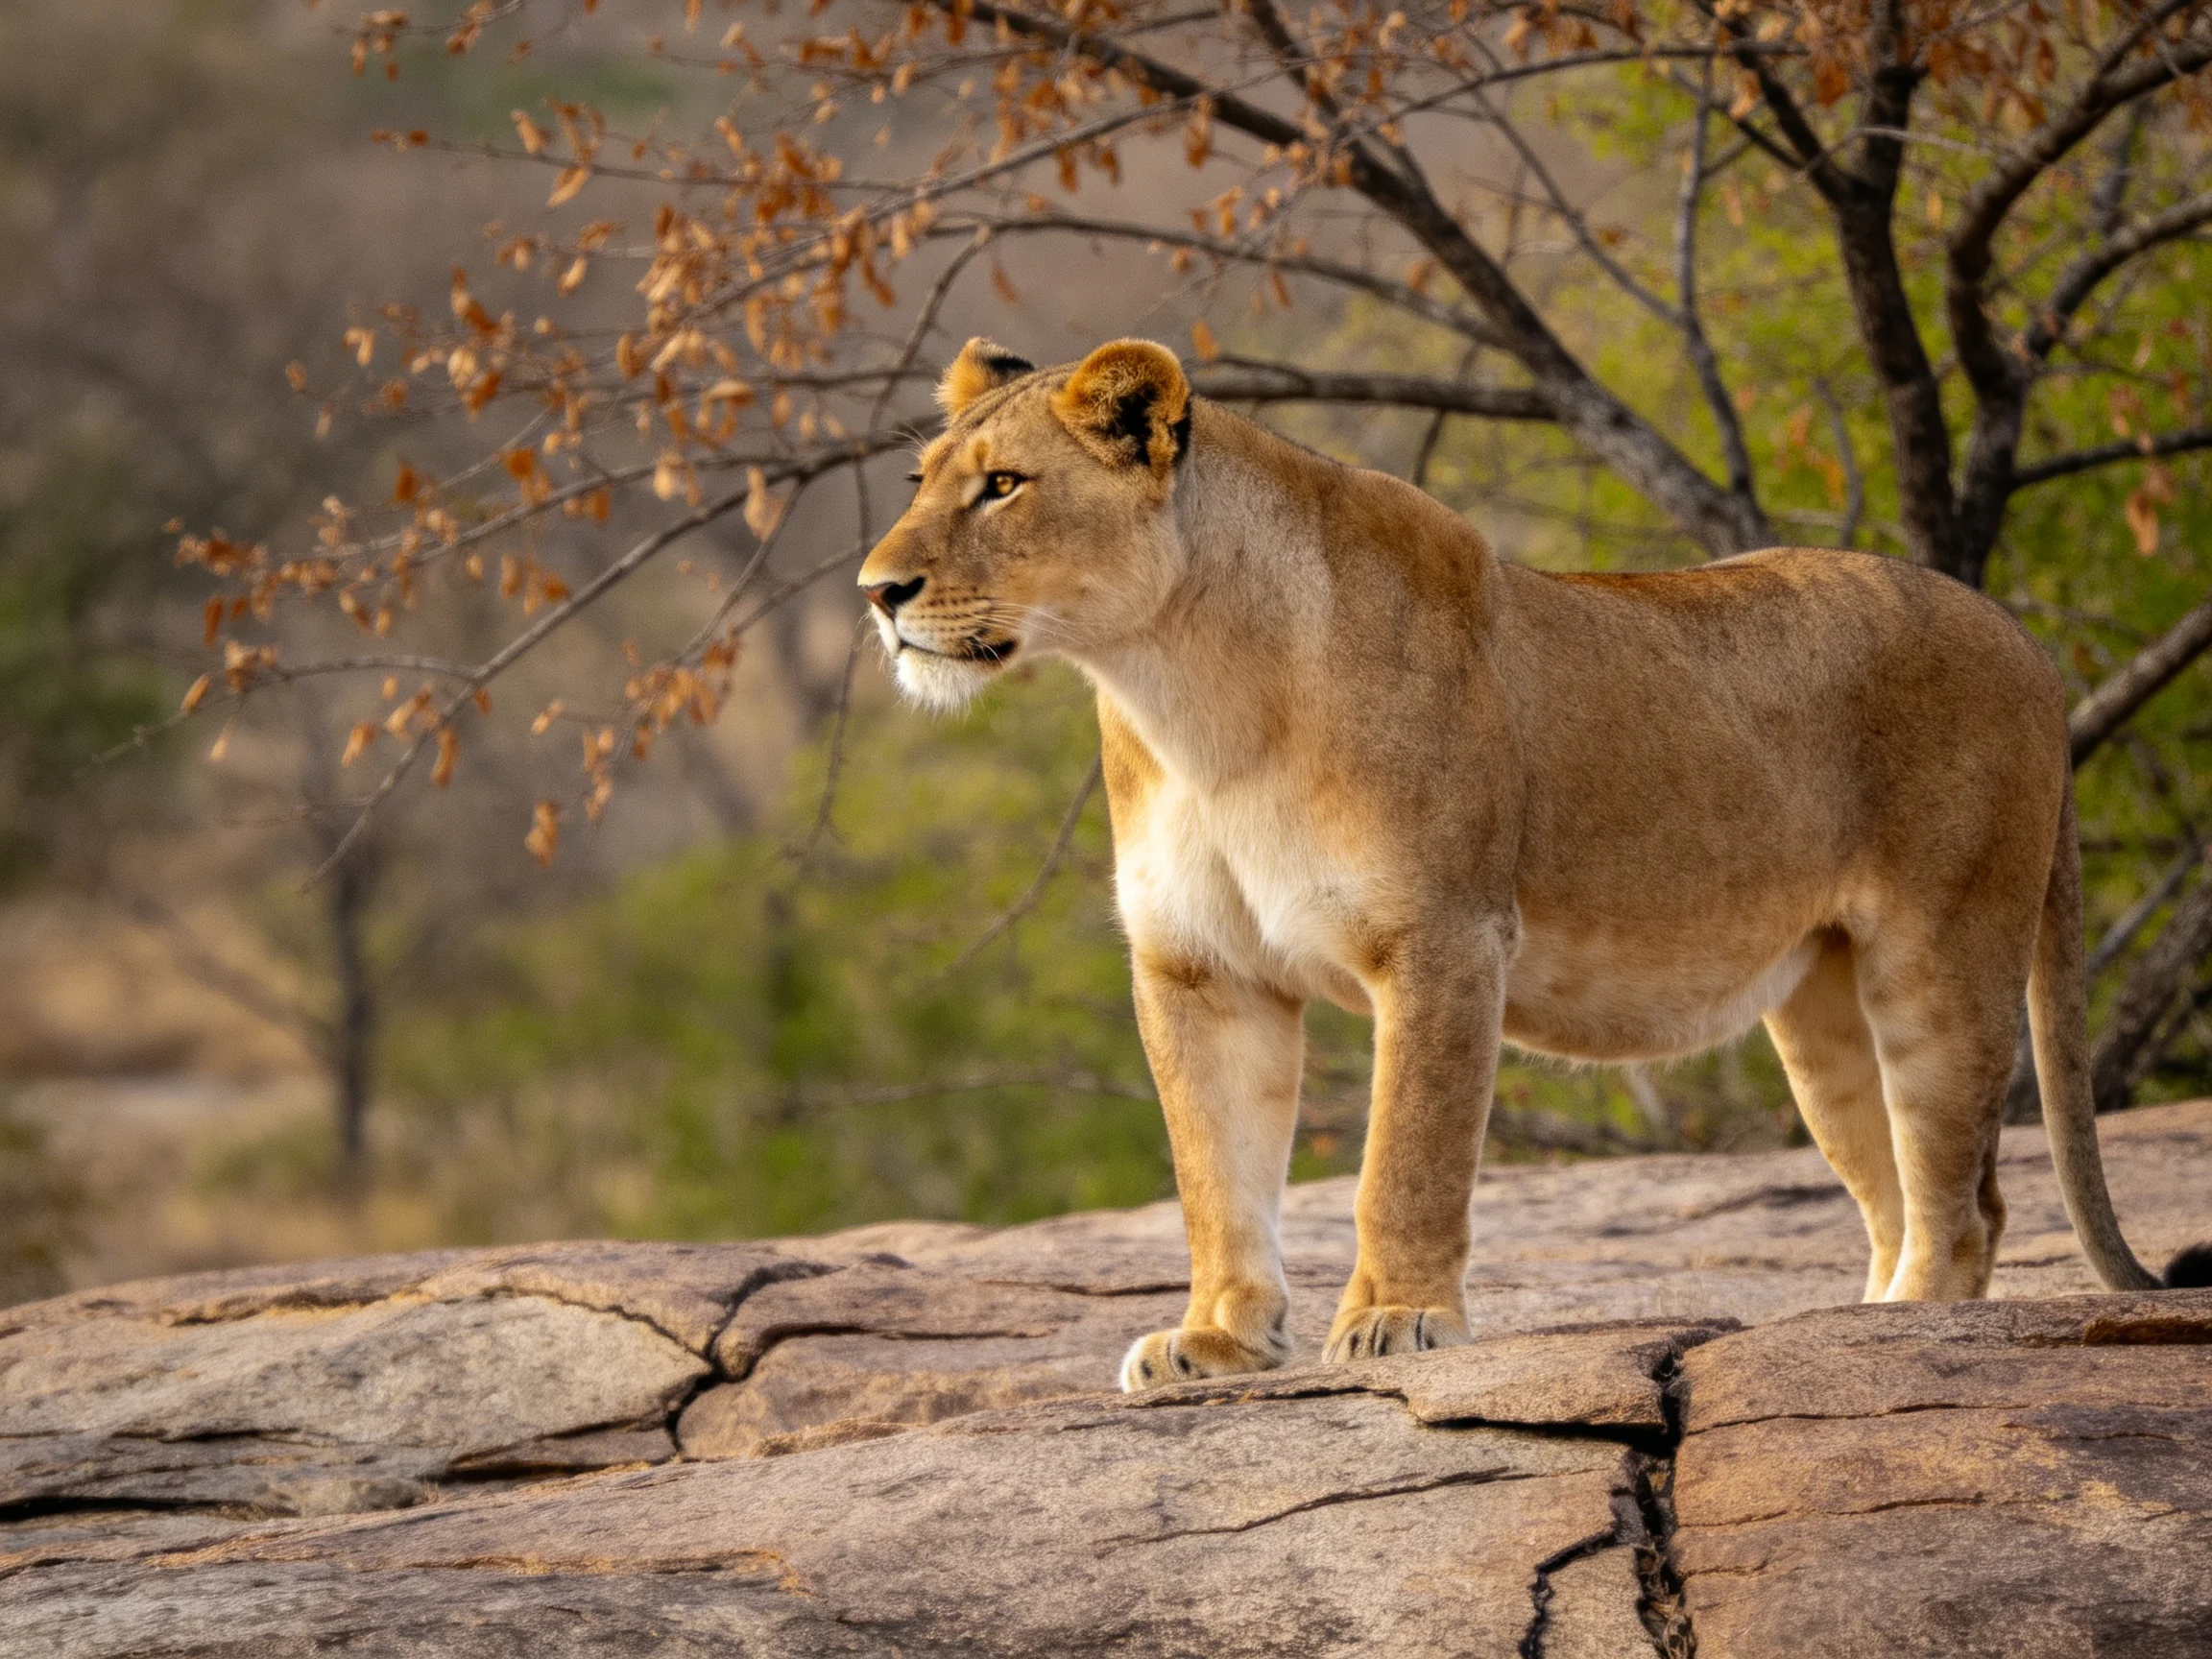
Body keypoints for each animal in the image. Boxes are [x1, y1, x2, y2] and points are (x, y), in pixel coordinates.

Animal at [857, 336, 2210, 1391]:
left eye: (1003, 487)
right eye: (921, 482)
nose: (878, 590)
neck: (1184, 691)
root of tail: (2023, 640)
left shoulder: (1445, 938)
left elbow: (1405, 1156)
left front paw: (1394, 1323)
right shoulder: (1199, 969)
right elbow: (1215, 1174)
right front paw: (1219, 1341)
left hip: (1940, 950)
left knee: (1966, 1199)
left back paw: (1909, 1327)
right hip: (1822, 1009)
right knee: (1889, 1180)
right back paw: (1859, 1324)